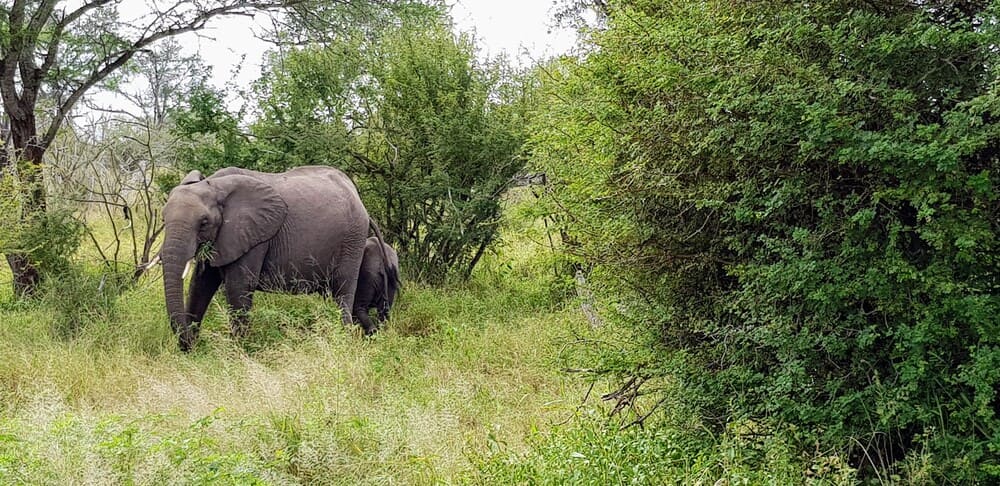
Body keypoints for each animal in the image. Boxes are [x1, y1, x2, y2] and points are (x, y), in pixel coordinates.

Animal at [162, 166, 380, 350]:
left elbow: (238, 286)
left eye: (204, 223)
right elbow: (200, 284)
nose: (188, 342)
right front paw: (191, 350)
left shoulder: (254, 237)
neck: (215, 185)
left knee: (342, 291)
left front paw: (239, 352)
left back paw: (342, 341)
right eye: (163, 219)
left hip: (353, 240)